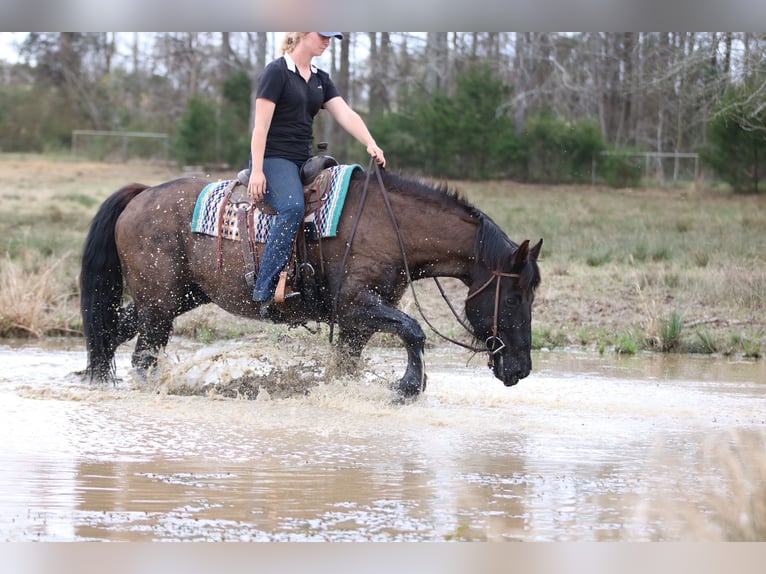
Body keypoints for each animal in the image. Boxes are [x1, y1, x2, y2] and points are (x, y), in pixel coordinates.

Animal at [79, 166, 542, 400]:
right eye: (514, 296)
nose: (521, 368)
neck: (387, 225)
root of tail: (143, 194)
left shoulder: (359, 322)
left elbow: (347, 364)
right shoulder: (357, 304)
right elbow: (413, 331)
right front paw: (408, 386)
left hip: (172, 300)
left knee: (112, 330)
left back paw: (97, 376)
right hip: (160, 306)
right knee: (143, 357)